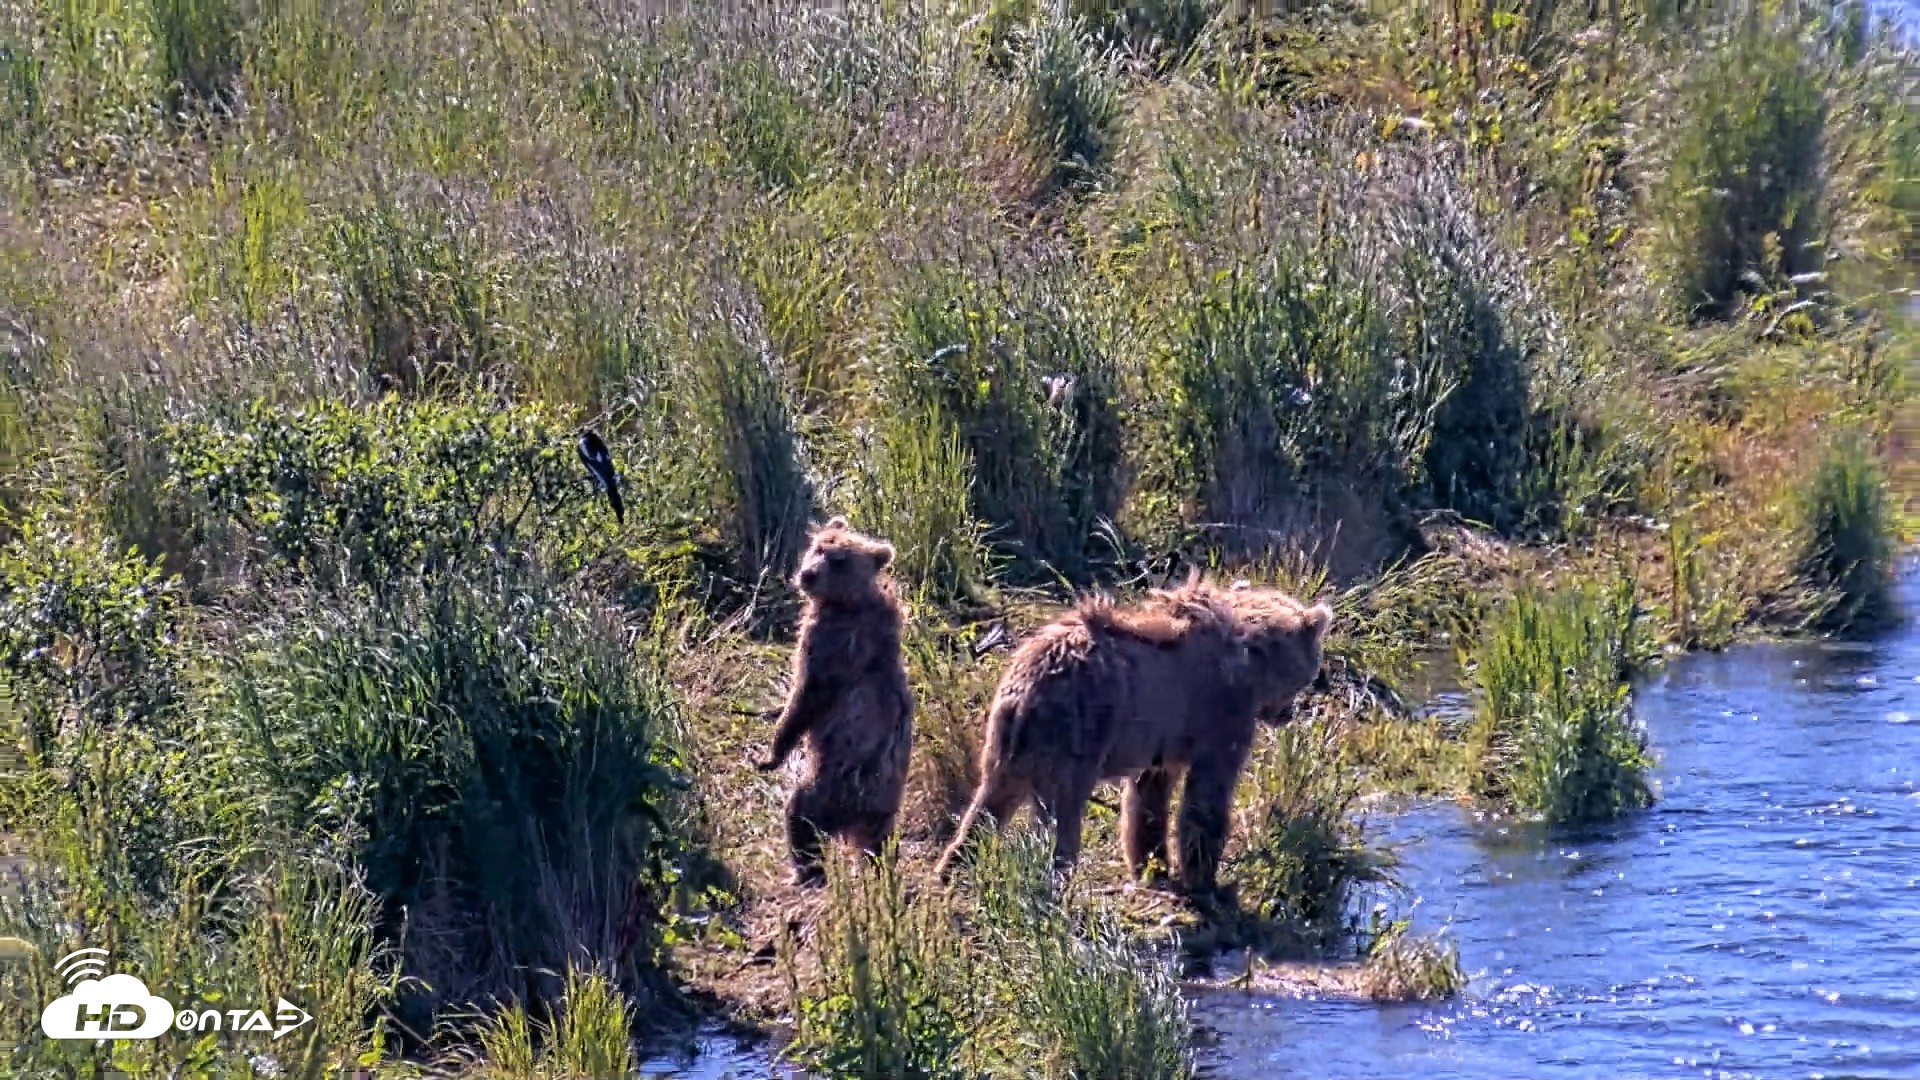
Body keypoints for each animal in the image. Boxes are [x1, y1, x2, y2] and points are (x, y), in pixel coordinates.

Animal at [756, 517, 915, 888]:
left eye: (839, 560)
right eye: (818, 548)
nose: (807, 575)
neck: (847, 601)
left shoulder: (830, 645)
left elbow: (805, 699)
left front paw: (770, 755)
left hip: (831, 783)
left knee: (801, 815)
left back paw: (806, 869)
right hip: (884, 810)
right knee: (882, 844)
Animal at [933, 573, 1332, 897]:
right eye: (1312, 668)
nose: (1288, 714)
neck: (1252, 657)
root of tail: (1027, 690)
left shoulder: (1162, 738)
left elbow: (1148, 799)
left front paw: (1152, 864)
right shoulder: (1222, 716)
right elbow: (1206, 798)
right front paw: (1206, 881)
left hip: (1005, 743)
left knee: (987, 806)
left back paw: (952, 867)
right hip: (1076, 739)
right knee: (1062, 817)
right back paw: (1055, 881)